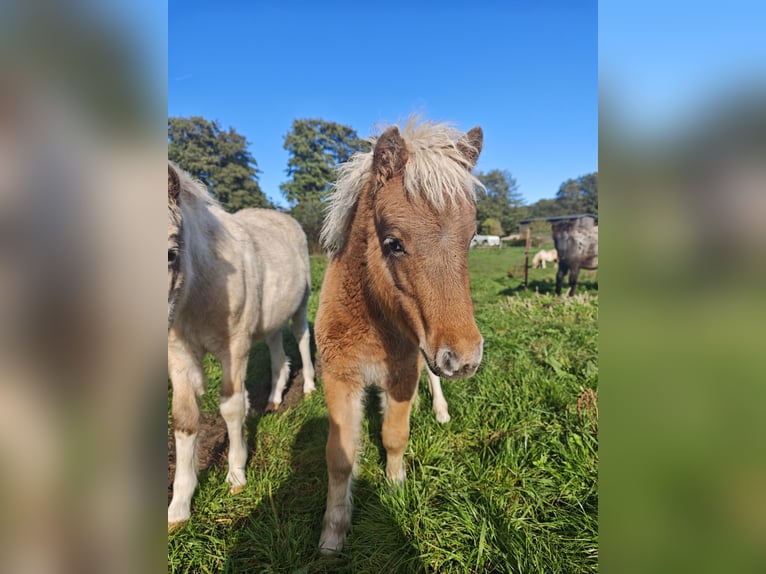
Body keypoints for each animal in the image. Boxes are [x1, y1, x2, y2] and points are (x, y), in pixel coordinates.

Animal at [167, 163, 316, 528]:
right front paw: (178, 507)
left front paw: (236, 475)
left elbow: (231, 407)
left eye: (171, 253)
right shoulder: (179, 354)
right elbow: (184, 419)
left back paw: (308, 387)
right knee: (278, 352)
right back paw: (274, 399)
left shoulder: (233, 349)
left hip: (302, 302)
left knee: (302, 338)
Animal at [315, 119, 484, 553]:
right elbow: (339, 455)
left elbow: (395, 435)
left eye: (471, 239)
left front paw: (394, 491)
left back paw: (439, 410)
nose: (465, 359)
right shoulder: (339, 378)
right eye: (393, 243)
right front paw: (332, 535)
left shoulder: (404, 372)